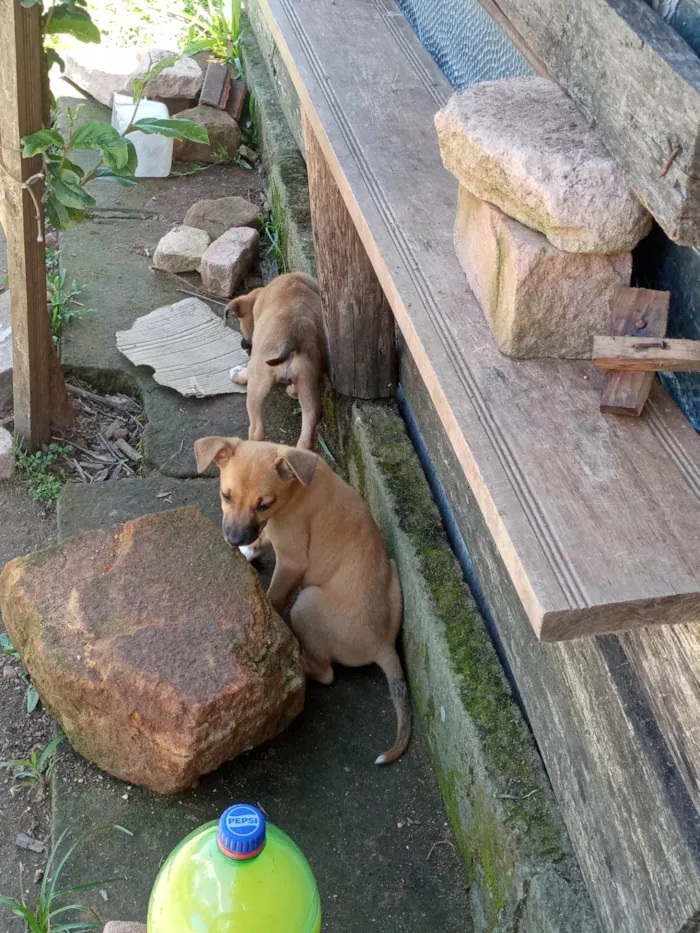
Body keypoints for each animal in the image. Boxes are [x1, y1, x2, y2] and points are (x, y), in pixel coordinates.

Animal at [193, 436, 410, 764]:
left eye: (264, 504)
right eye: (225, 495)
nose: (233, 540)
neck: (296, 488)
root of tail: (383, 647)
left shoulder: (292, 560)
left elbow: (274, 596)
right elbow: (262, 540)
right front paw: (248, 551)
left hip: (307, 603)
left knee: (326, 673)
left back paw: (295, 664)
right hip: (394, 572)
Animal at [230, 272, 328, 450]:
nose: (243, 344)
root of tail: (292, 338)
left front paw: (237, 374)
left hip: (257, 384)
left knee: (257, 430)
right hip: (308, 383)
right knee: (307, 432)